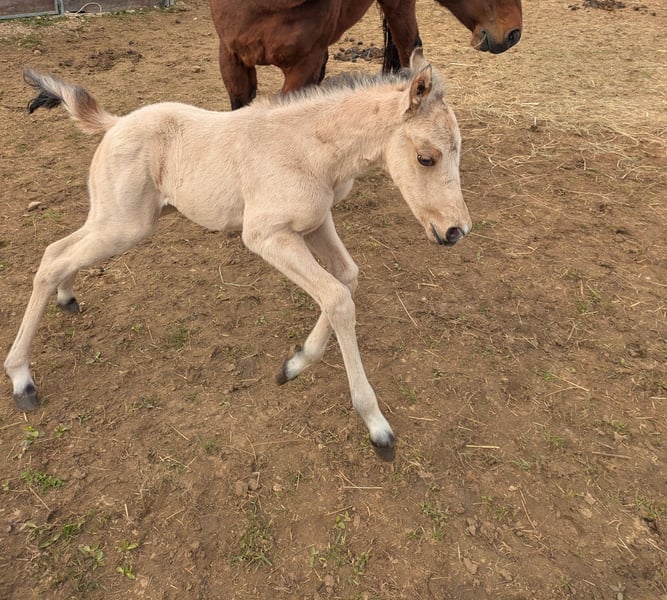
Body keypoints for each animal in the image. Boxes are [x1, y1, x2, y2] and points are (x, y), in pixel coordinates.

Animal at [5, 49, 471, 460]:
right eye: (426, 158)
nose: (456, 231)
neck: (309, 150)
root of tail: (115, 123)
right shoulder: (265, 235)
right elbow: (338, 298)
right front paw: (376, 425)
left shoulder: (316, 222)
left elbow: (346, 279)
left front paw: (293, 365)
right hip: (123, 225)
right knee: (52, 261)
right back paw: (21, 379)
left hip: (117, 220)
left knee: (60, 251)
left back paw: (66, 299)